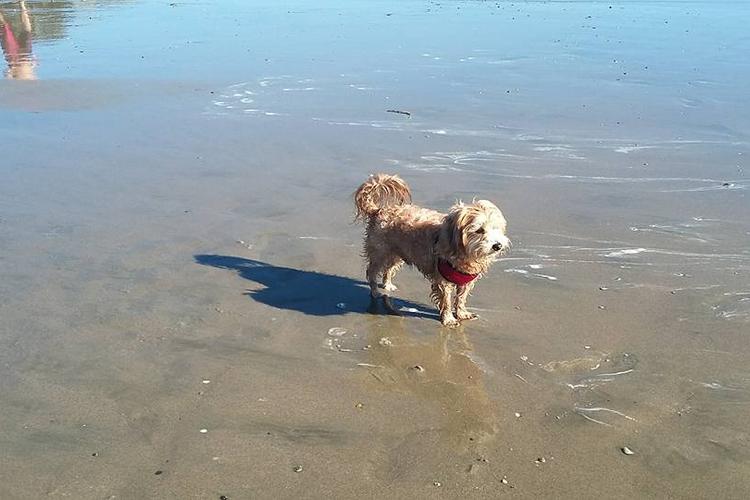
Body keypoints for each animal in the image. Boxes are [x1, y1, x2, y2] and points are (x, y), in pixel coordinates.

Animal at [354, 173, 510, 327]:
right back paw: (375, 291)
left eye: (496, 228)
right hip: (380, 252)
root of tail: (379, 210)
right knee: (372, 271)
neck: (464, 252)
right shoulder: (443, 279)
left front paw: (461, 313)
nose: (497, 245)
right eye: (479, 230)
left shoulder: (466, 280)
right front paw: (448, 319)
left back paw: (387, 284)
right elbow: (446, 301)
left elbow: (461, 297)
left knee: (389, 268)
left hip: (397, 253)